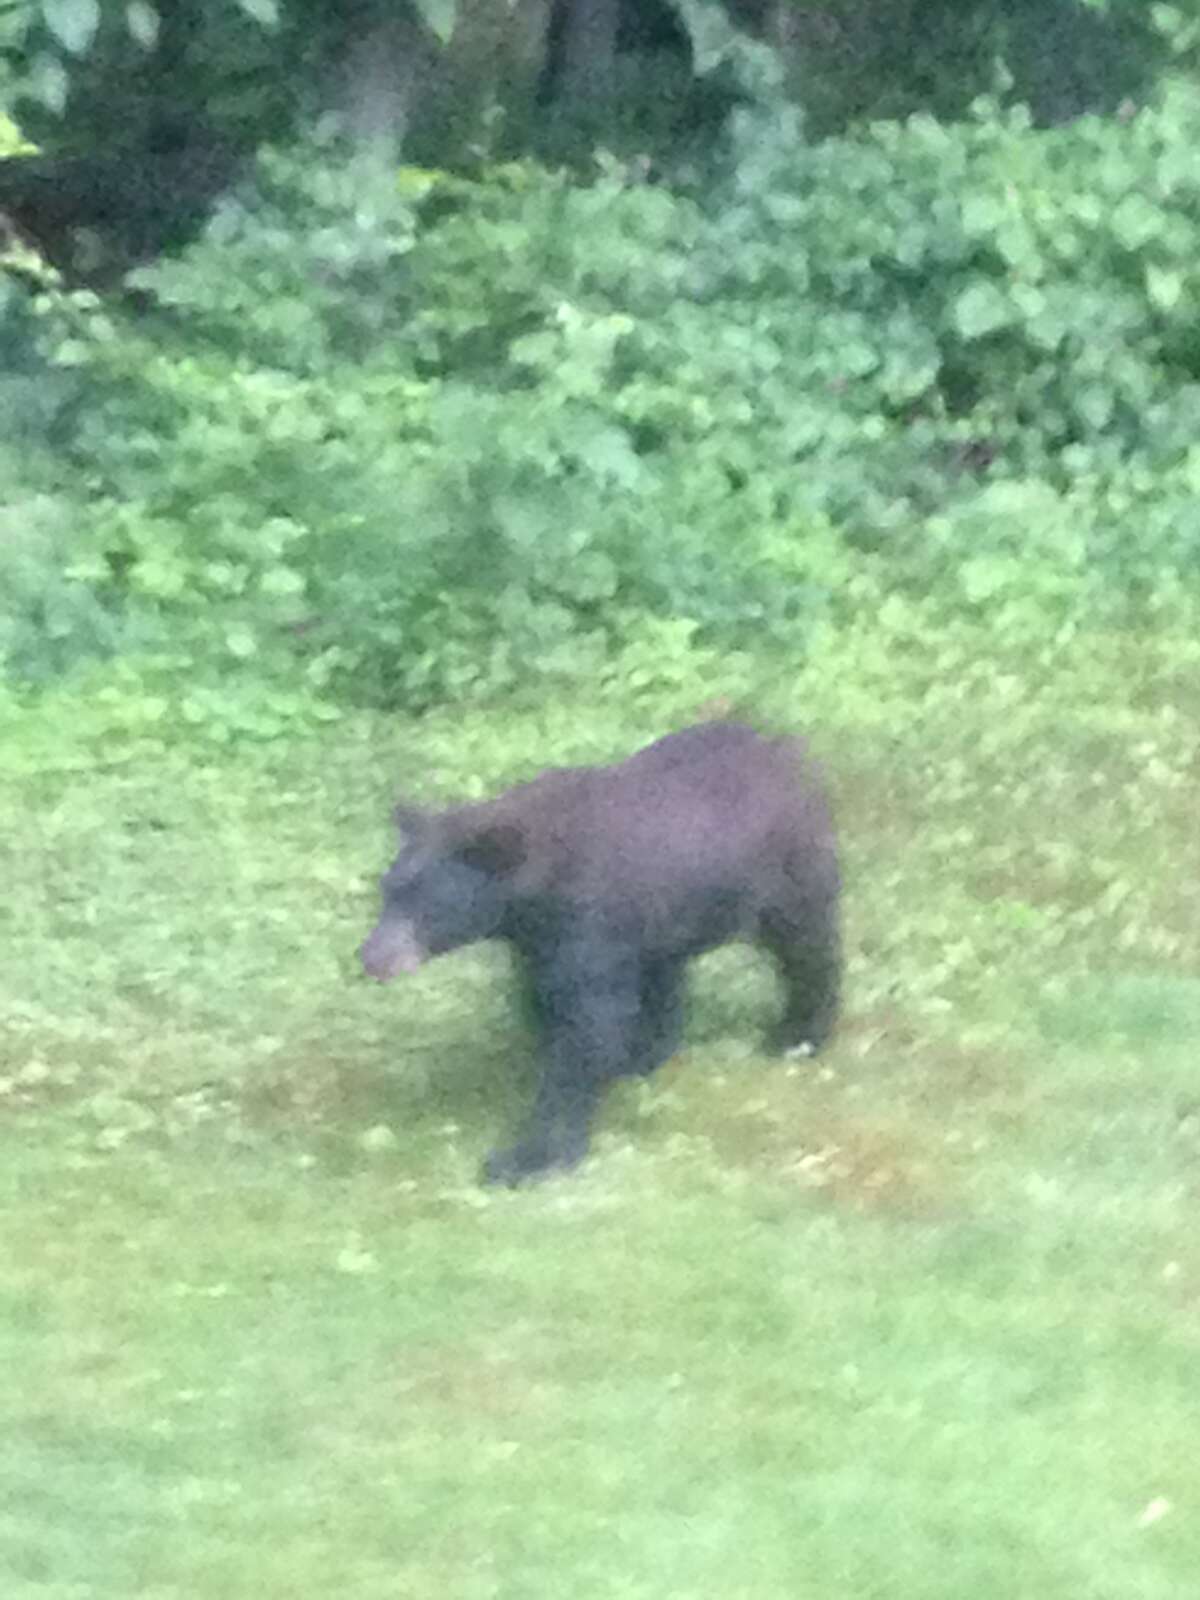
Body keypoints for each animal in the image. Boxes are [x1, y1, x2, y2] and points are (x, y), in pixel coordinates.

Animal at [361, 720, 838, 1184]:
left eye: (426, 902)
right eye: (389, 890)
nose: (371, 956)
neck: (535, 893)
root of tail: (786, 745)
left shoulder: (589, 922)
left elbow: (584, 1032)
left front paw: (532, 1156)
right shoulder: (540, 944)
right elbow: (552, 1009)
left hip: (788, 871)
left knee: (807, 948)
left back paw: (801, 1033)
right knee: (665, 977)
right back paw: (646, 1055)